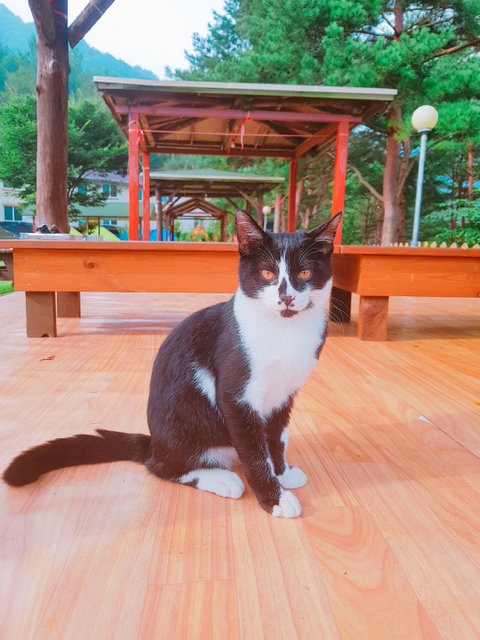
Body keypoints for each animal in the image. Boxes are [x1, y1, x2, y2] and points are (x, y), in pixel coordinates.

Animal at [3, 210, 341, 518]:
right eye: (268, 274)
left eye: (305, 274)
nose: (287, 298)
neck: (284, 331)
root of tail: (154, 443)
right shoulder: (235, 394)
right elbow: (255, 452)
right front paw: (274, 498)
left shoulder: (284, 395)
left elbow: (276, 439)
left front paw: (282, 473)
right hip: (185, 412)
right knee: (161, 467)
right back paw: (221, 478)